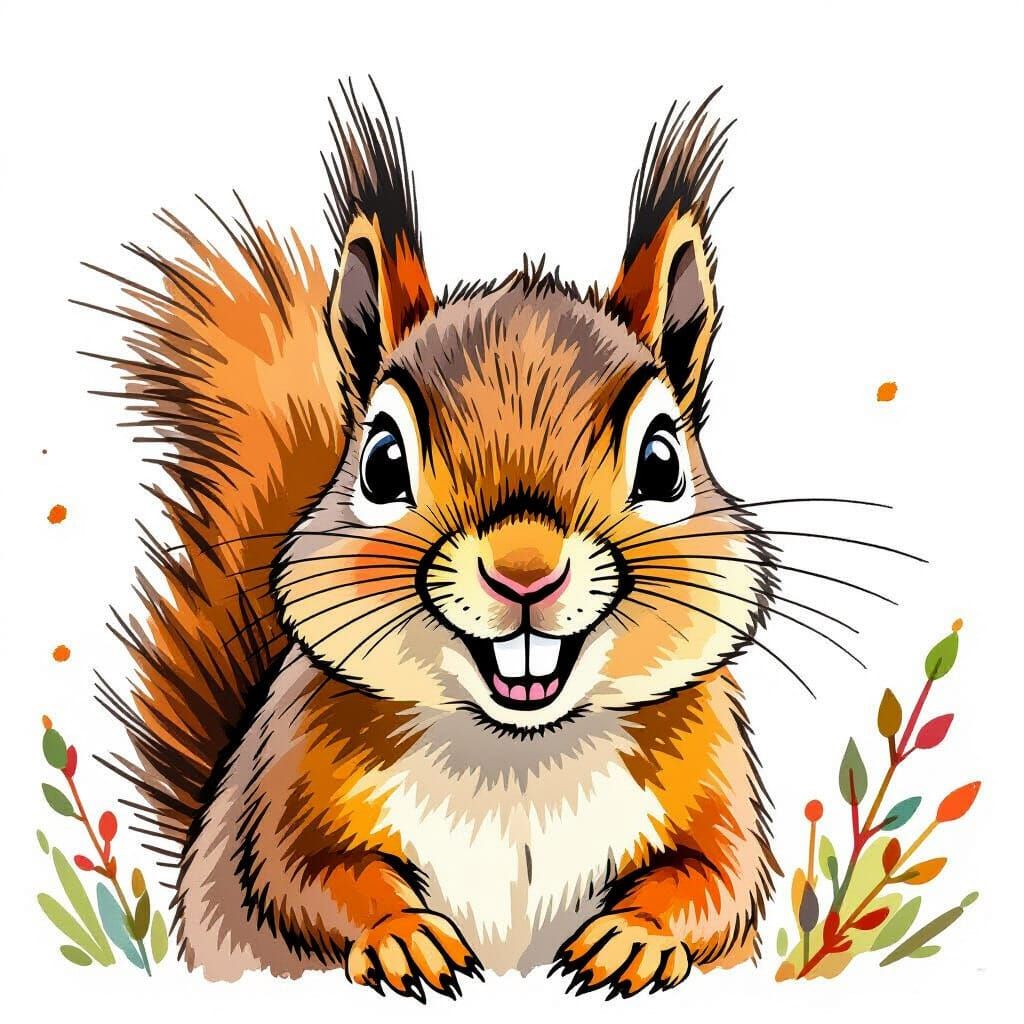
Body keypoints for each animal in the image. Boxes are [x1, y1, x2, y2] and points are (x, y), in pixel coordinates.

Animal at [93, 82, 778, 998]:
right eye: (382, 460)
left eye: (663, 460)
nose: (525, 572)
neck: (520, 755)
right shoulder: (283, 787)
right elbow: (302, 876)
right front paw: (401, 937)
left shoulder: (714, 781)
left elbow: (720, 879)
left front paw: (638, 936)